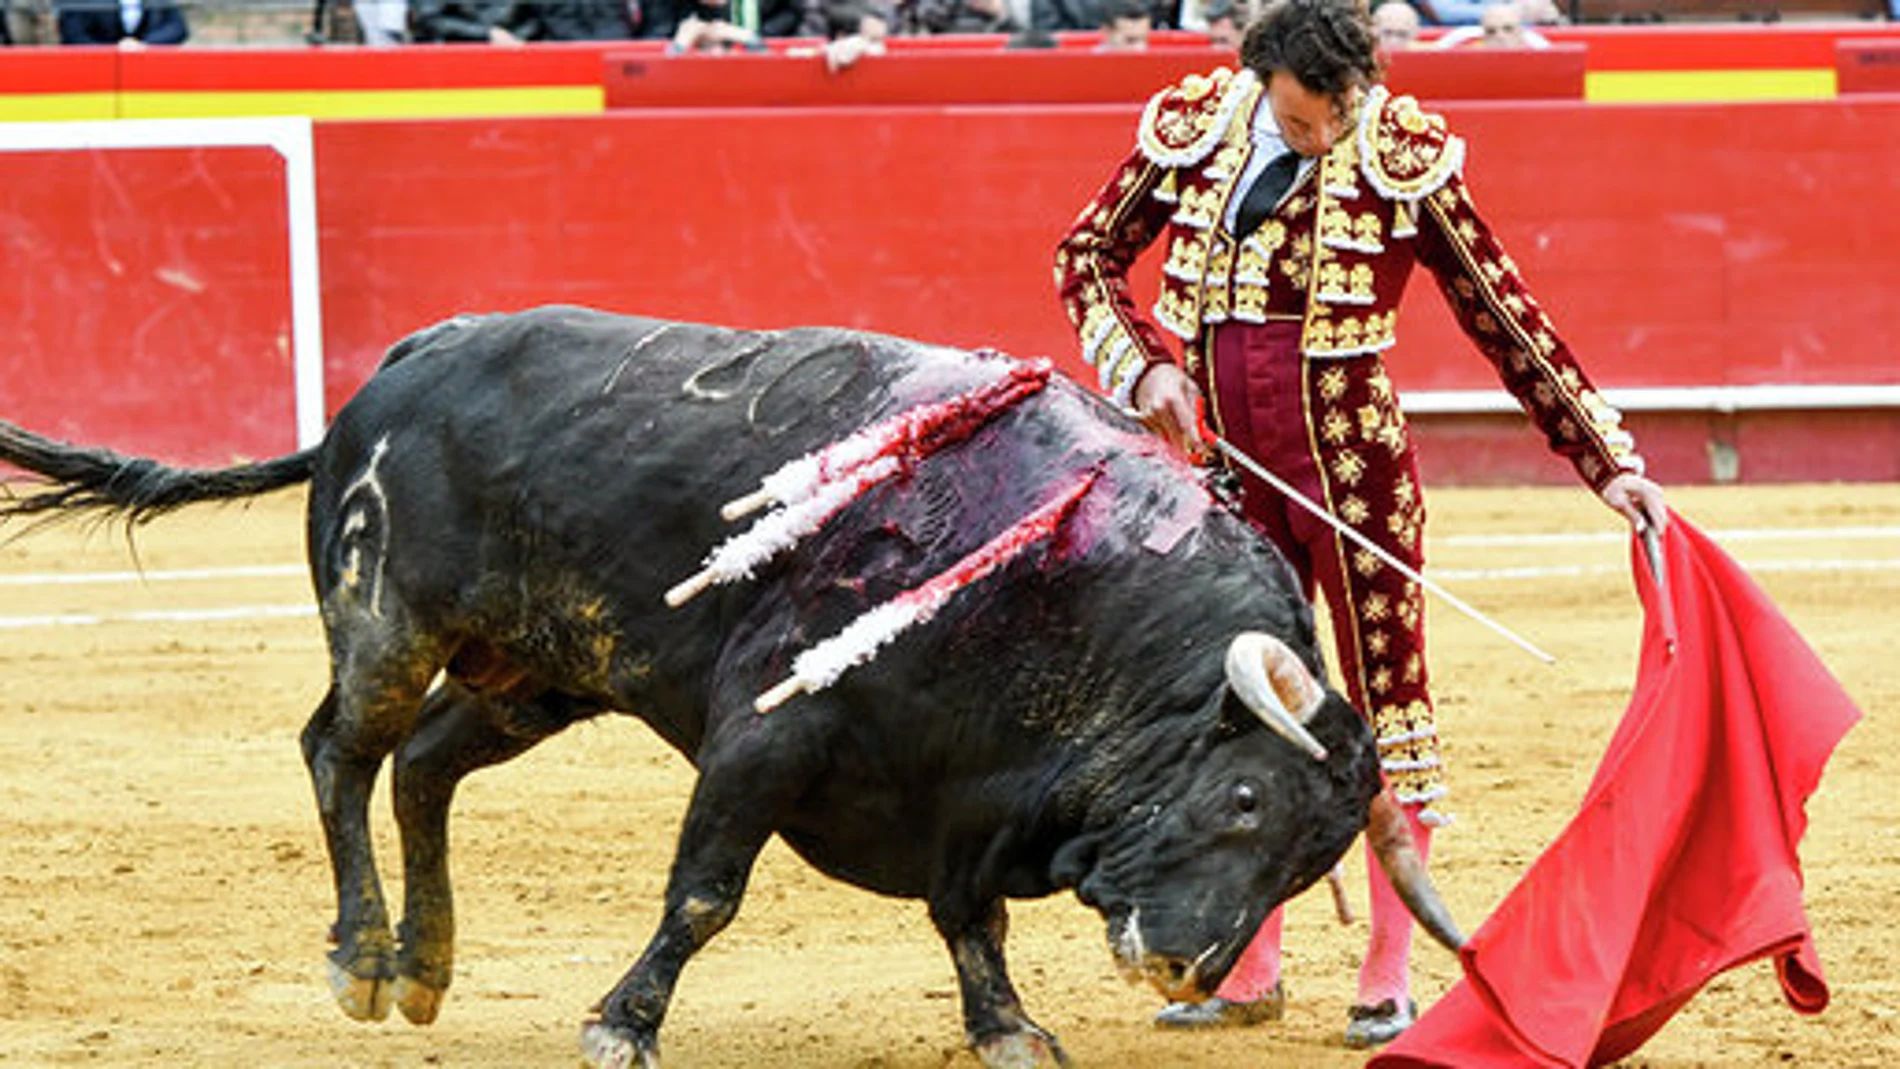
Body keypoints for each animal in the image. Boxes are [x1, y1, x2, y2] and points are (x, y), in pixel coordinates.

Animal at [0, 307, 1466, 1069]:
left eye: (1304, 863)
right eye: (1240, 798)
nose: (1181, 961)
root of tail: (398, 368)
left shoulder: (962, 794)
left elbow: (970, 920)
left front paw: (1009, 1029)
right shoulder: (766, 739)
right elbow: (705, 894)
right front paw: (619, 1024)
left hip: (536, 675)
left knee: (420, 767)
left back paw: (425, 967)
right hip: (386, 625)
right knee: (340, 751)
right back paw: (363, 959)